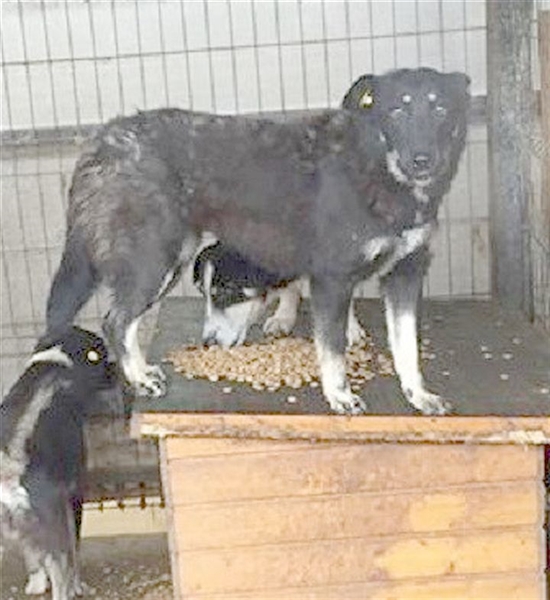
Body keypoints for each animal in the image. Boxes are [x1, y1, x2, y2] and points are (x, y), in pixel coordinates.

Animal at [0, 327, 119, 600]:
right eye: (101, 354)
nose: (117, 368)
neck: (57, 363)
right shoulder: (72, 494)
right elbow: (73, 553)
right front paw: (76, 586)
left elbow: (33, 555)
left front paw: (35, 584)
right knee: (61, 572)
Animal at [44, 67, 469, 416]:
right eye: (396, 111)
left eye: (440, 109)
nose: (422, 159)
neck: (378, 170)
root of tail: (101, 140)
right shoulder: (332, 280)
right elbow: (332, 351)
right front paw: (339, 396)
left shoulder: (405, 275)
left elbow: (406, 348)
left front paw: (418, 395)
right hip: (155, 260)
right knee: (115, 320)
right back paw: (139, 378)